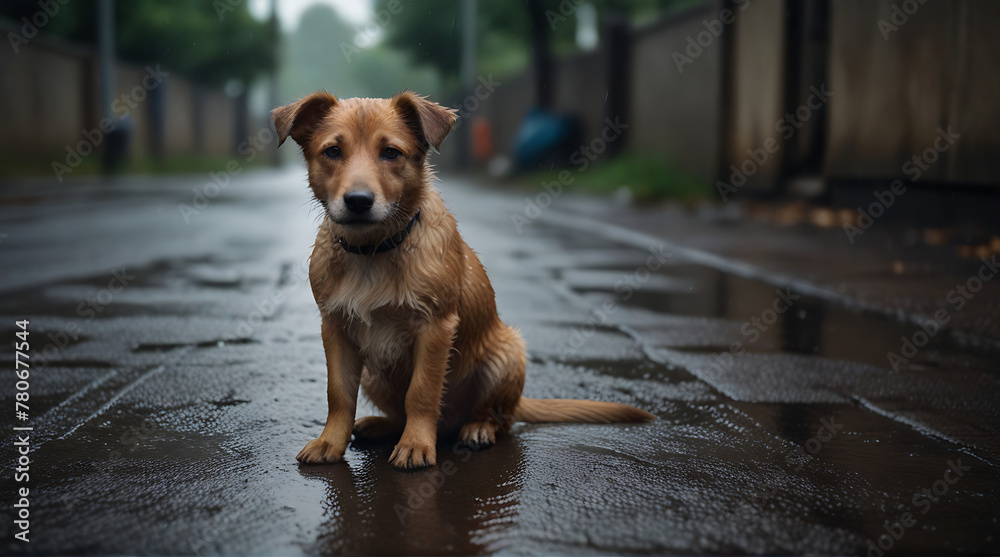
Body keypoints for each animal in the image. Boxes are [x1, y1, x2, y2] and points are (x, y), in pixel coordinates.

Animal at [272, 91, 656, 470]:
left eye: (391, 153)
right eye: (333, 151)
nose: (358, 201)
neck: (373, 251)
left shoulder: (435, 326)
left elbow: (422, 392)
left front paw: (415, 444)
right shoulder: (335, 327)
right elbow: (338, 394)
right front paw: (330, 442)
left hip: (506, 356)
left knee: (499, 418)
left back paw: (477, 428)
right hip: (374, 376)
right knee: (397, 413)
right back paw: (380, 426)